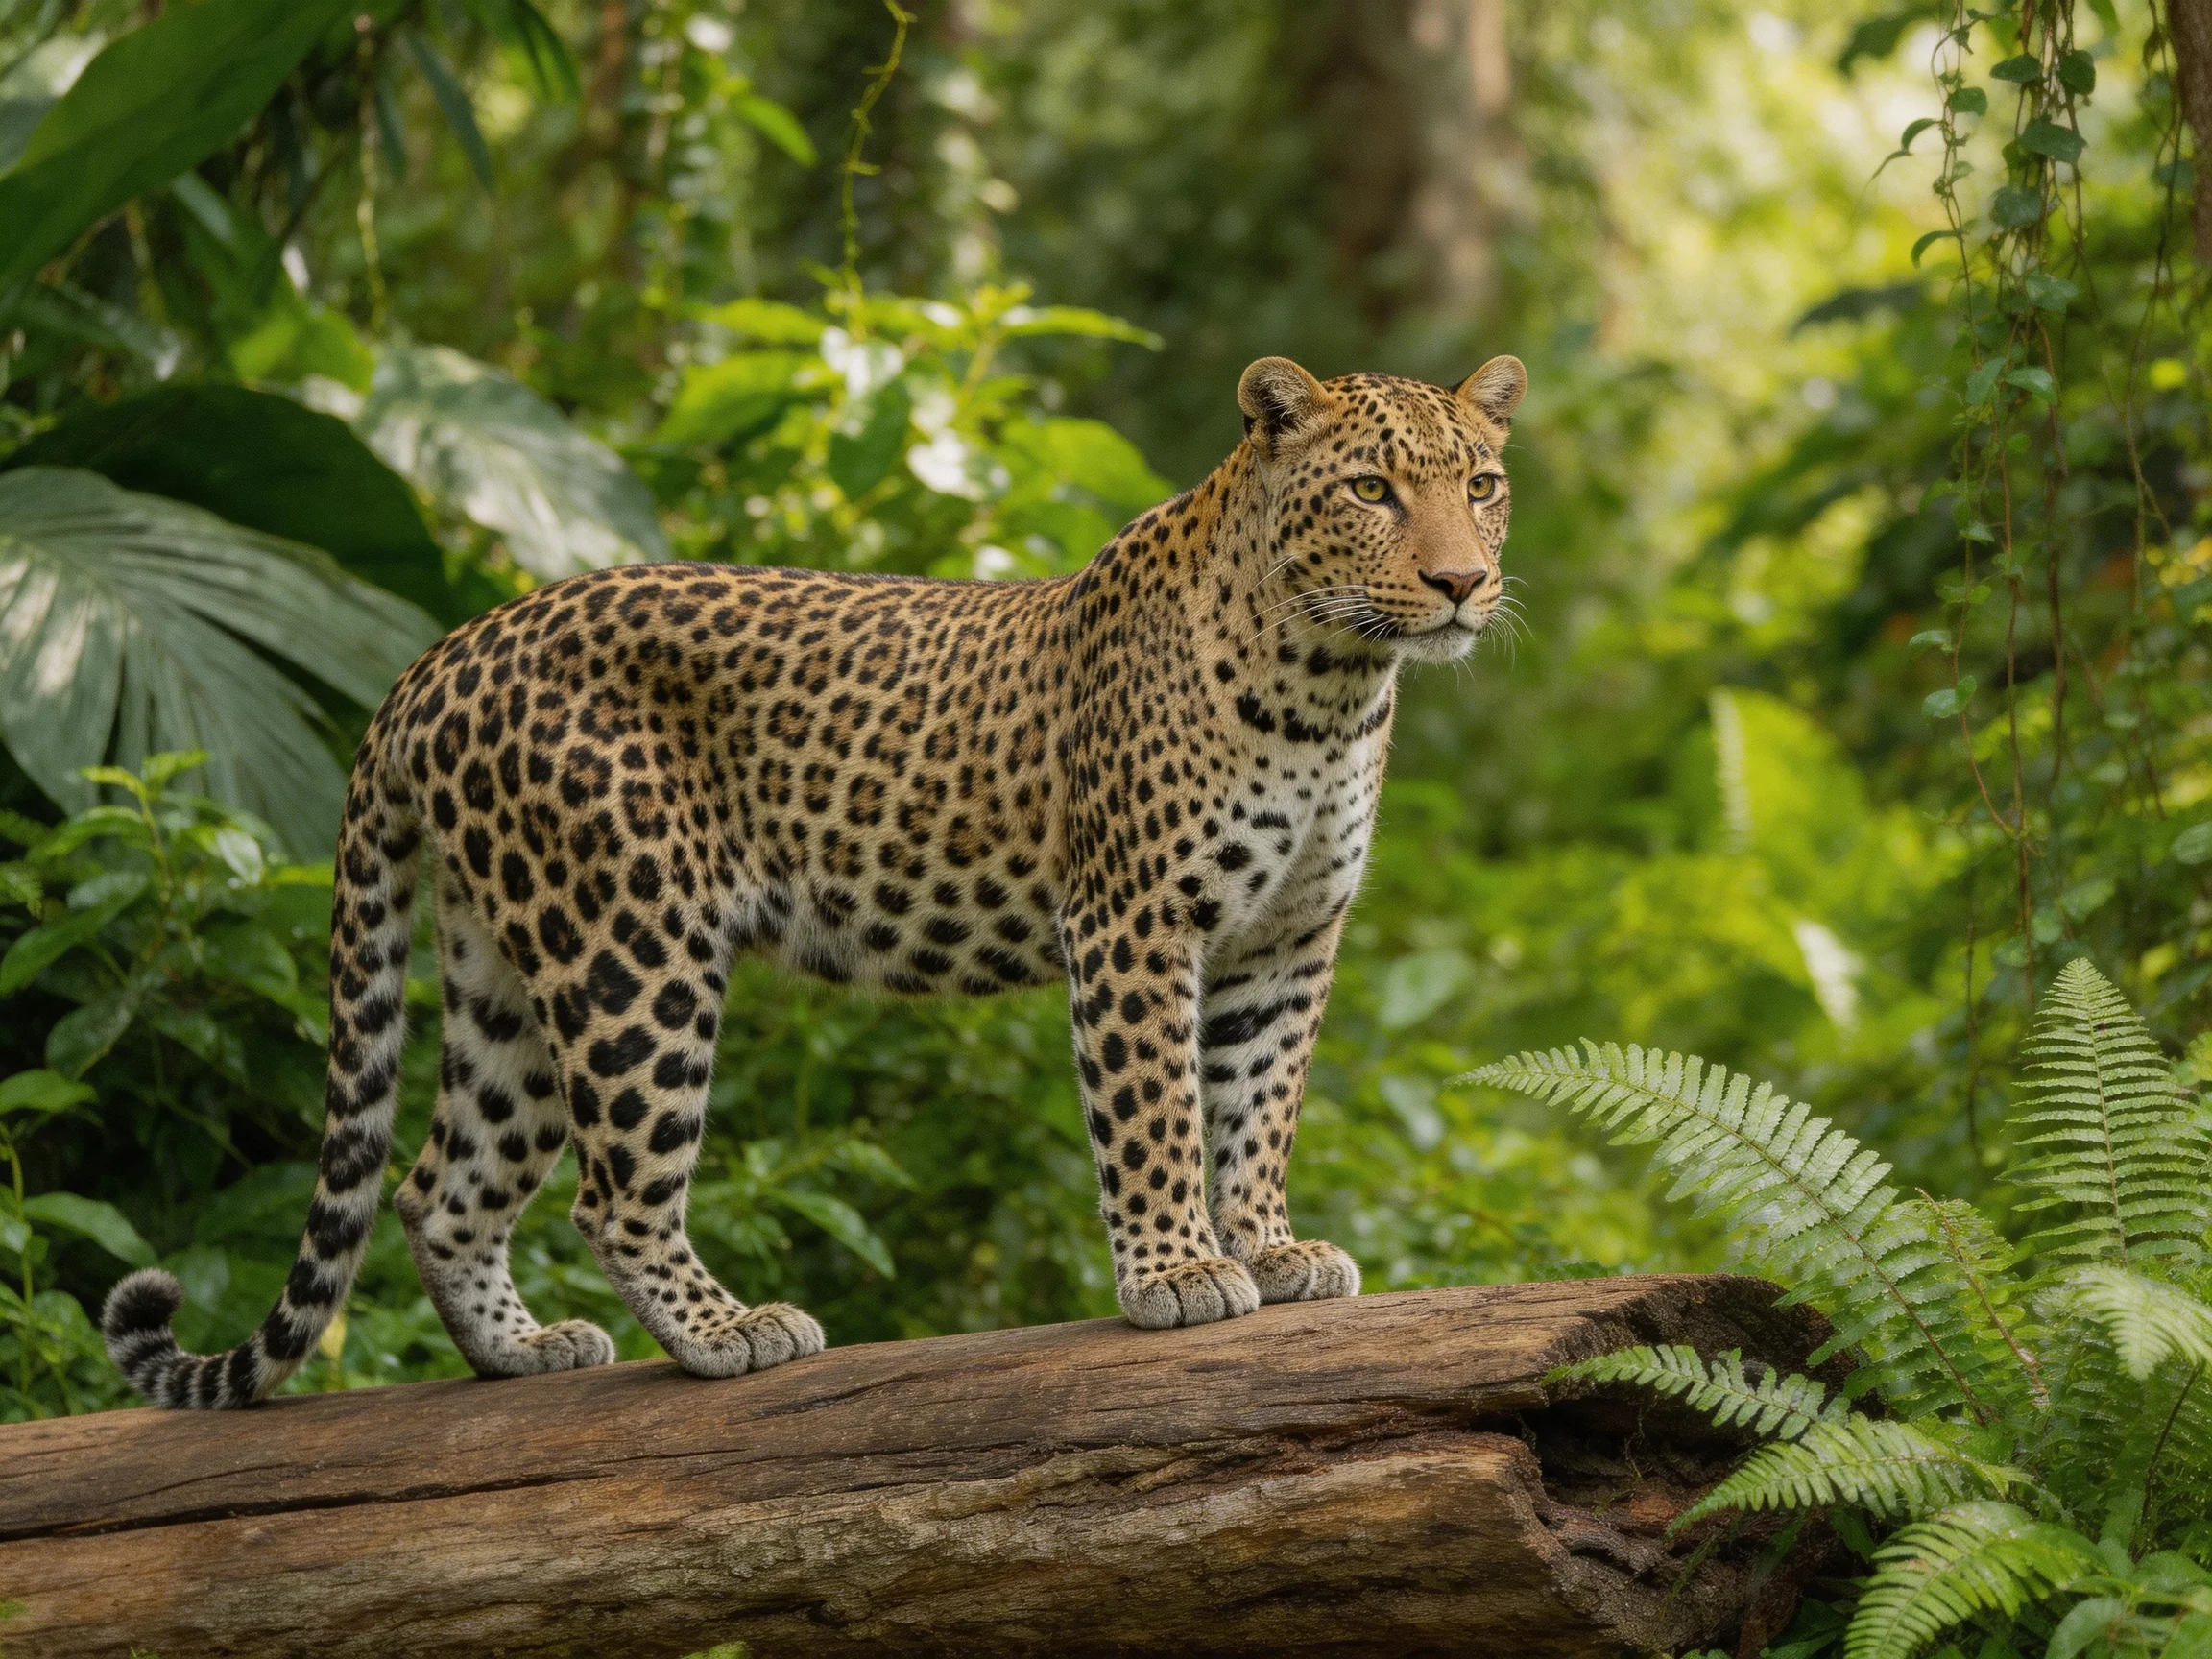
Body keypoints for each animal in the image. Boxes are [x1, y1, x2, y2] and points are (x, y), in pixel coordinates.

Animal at [100, 352, 1527, 1407]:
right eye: (1372, 490)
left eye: (1485, 483)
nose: (1464, 582)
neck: (1334, 686)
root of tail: (443, 652)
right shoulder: (1135, 921)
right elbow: (1158, 1111)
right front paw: (1176, 1272)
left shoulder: (1286, 940)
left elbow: (1259, 1105)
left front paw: (1271, 1247)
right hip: (633, 948)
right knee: (614, 1193)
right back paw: (727, 1331)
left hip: (506, 963)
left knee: (438, 1185)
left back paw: (522, 1352)